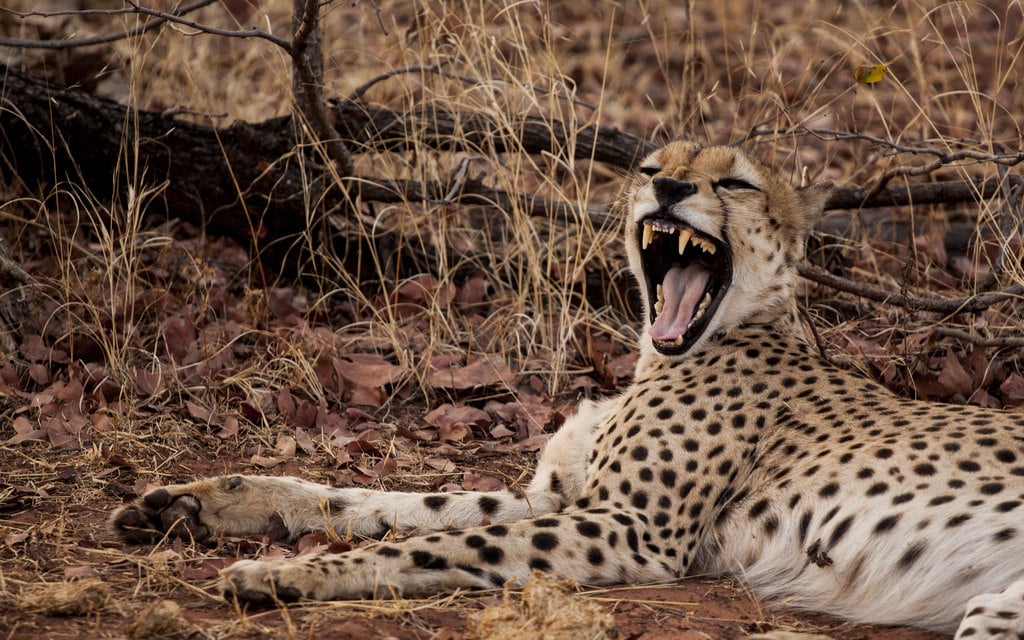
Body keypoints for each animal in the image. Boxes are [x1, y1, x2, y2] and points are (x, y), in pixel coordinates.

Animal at [112, 142, 1024, 639]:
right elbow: (397, 503)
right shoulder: (565, 493)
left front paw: (281, 575)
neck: (663, 351)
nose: (667, 190)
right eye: (654, 166)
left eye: (734, 183)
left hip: (997, 607)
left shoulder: (636, 530)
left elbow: (431, 544)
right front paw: (201, 502)